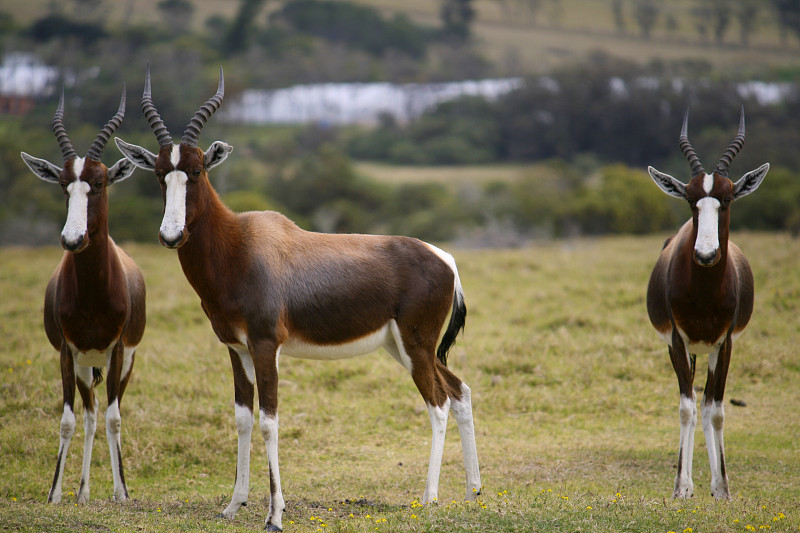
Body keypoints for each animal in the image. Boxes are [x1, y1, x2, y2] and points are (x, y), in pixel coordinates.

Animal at [20, 87, 145, 502]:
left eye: (101, 182)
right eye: (64, 184)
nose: (72, 239)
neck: (93, 294)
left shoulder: (120, 349)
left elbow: (115, 417)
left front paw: (122, 493)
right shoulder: (66, 350)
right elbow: (68, 420)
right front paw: (55, 493)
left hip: (118, 362)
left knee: (104, 412)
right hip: (84, 365)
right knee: (89, 415)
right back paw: (83, 492)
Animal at [116, 67, 482, 532]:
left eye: (197, 170)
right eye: (161, 173)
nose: (171, 234)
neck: (240, 246)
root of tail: (444, 258)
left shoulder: (266, 345)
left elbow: (269, 421)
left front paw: (275, 515)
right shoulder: (236, 348)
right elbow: (242, 418)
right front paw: (233, 505)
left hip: (416, 347)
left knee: (437, 403)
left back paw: (429, 498)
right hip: (404, 347)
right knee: (459, 390)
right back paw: (473, 491)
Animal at [644, 108, 768, 498]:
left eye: (726, 199)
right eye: (689, 199)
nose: (706, 254)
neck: (704, 295)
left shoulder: (724, 343)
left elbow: (716, 409)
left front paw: (723, 487)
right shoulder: (676, 340)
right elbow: (687, 407)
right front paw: (681, 487)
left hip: (710, 350)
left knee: (709, 400)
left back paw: (714, 485)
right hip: (690, 349)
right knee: (694, 401)